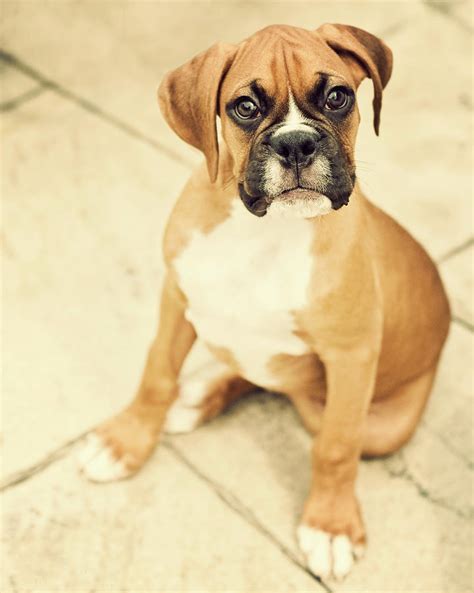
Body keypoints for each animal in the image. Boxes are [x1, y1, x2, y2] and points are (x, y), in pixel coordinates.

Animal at [79, 22, 450, 580]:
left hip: (386, 423)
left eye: (338, 97)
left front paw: (331, 526)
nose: (296, 143)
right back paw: (197, 397)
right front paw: (125, 442)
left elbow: (336, 446)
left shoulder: (352, 355)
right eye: (246, 108)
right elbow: (156, 374)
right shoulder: (177, 296)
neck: (267, 231)